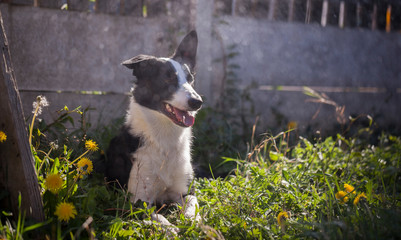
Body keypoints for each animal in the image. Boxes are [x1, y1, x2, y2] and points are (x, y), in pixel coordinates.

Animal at [104, 31, 202, 224]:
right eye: (168, 77)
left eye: (190, 79)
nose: (197, 102)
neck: (164, 139)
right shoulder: (138, 201)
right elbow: (159, 218)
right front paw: (172, 228)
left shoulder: (185, 191)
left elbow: (192, 205)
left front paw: (192, 222)